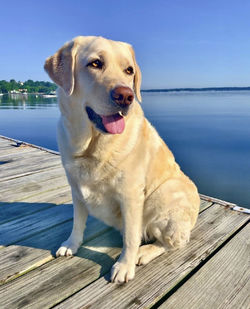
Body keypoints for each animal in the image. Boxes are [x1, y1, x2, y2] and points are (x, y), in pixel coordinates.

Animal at [43, 35, 199, 282]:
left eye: (129, 70)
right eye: (95, 63)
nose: (126, 96)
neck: (90, 146)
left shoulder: (131, 196)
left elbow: (130, 237)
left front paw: (125, 266)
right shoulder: (76, 190)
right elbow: (77, 223)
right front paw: (71, 244)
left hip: (163, 195)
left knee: (173, 243)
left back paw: (144, 252)